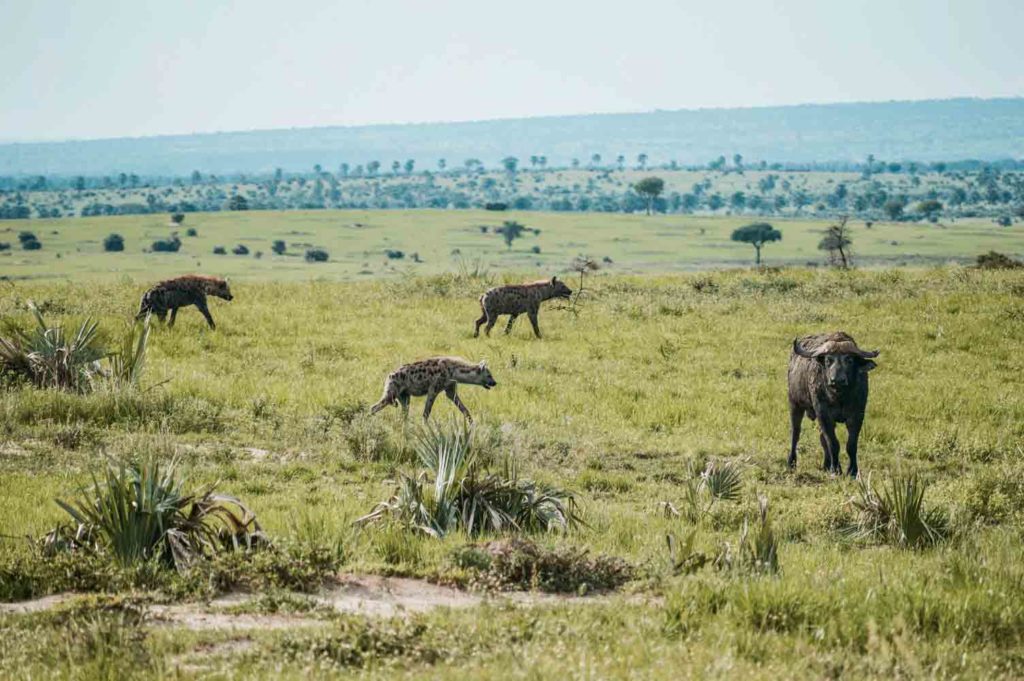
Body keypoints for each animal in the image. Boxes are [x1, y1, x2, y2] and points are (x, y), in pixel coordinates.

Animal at [786, 331, 876, 475]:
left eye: (849, 360)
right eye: (828, 360)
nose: (837, 380)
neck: (839, 397)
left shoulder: (857, 415)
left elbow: (851, 444)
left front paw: (852, 471)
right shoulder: (824, 414)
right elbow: (833, 443)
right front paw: (836, 469)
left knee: (822, 438)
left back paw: (826, 464)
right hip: (794, 403)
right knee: (795, 433)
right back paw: (791, 462)